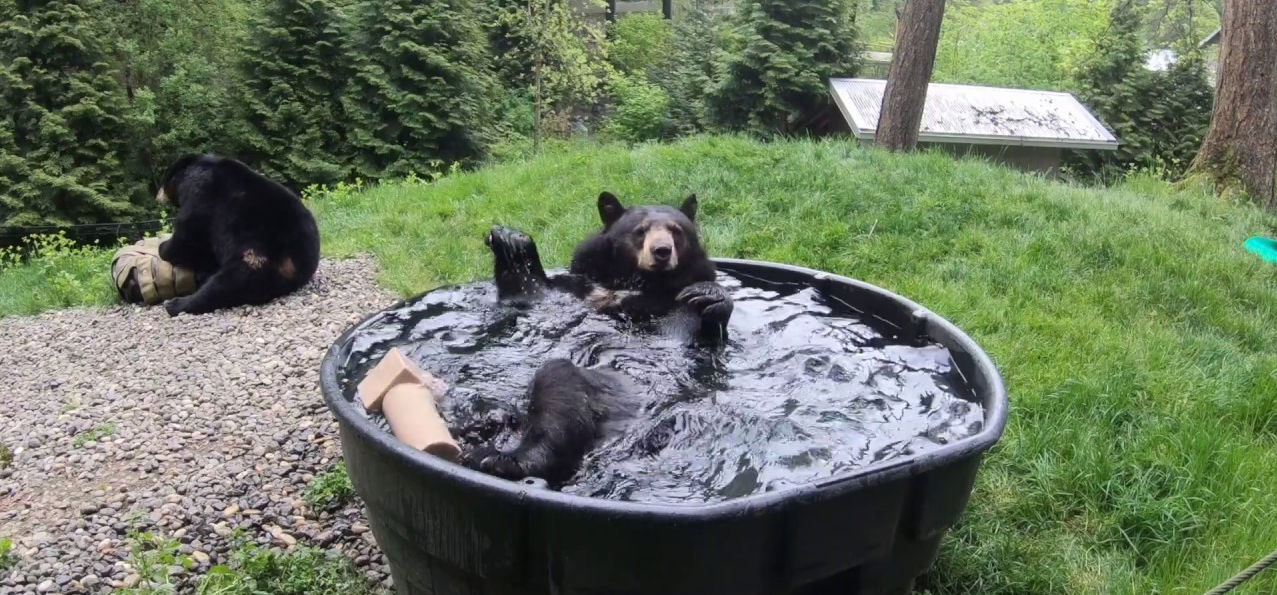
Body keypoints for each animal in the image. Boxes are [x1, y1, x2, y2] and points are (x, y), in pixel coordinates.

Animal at [153, 157, 319, 316]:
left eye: (163, 181)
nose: (157, 196)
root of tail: (295, 264)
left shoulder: (200, 194)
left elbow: (189, 236)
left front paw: (162, 247)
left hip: (254, 254)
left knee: (227, 284)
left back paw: (176, 304)